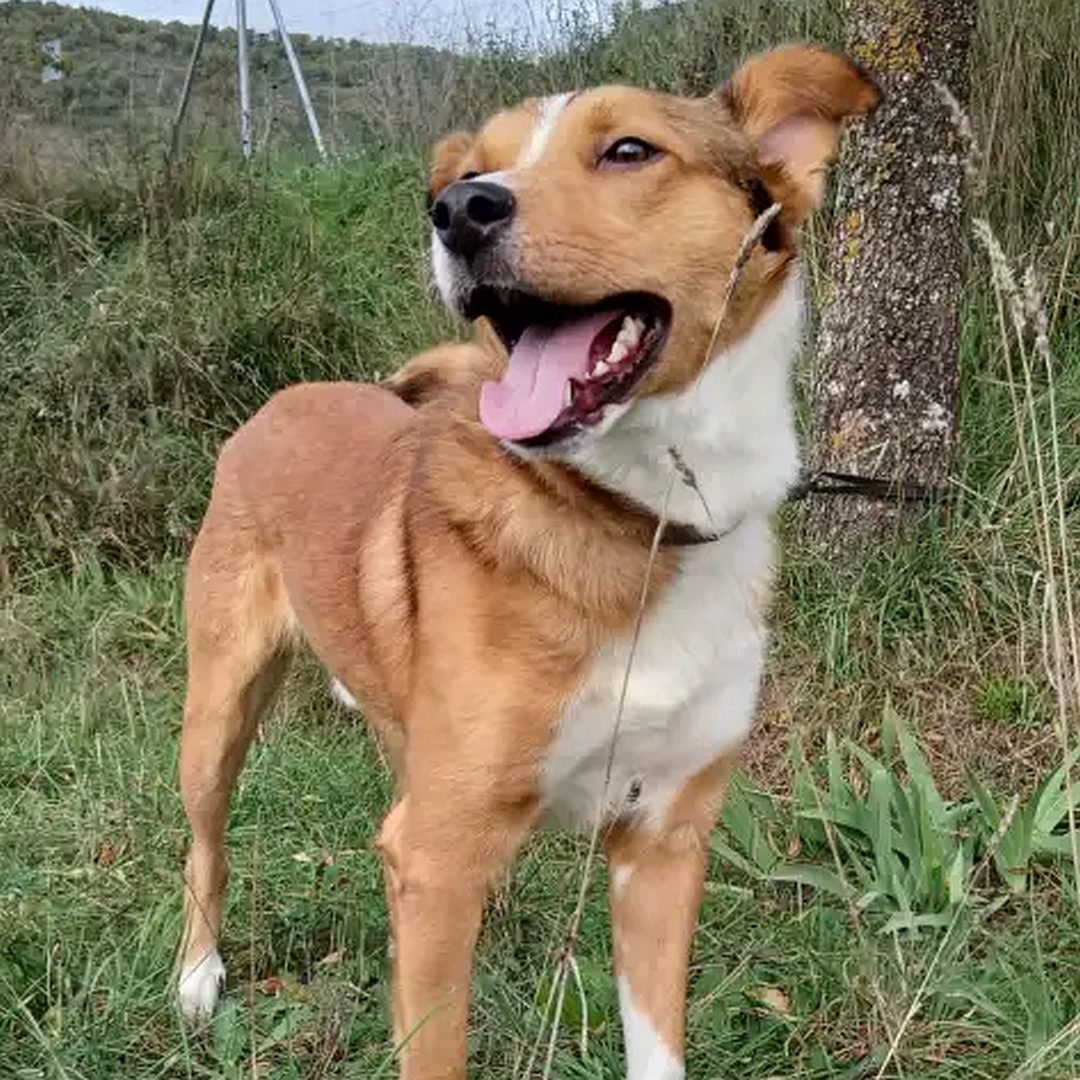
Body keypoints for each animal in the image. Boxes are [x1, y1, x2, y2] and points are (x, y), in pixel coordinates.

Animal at [174, 44, 876, 1080]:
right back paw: (197, 975)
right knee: (207, 847)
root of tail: (282, 398)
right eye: (477, 169)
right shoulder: (438, 858)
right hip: (217, 713)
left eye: (630, 150)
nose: (460, 209)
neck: (643, 521)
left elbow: (656, 1048)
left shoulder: (663, 847)